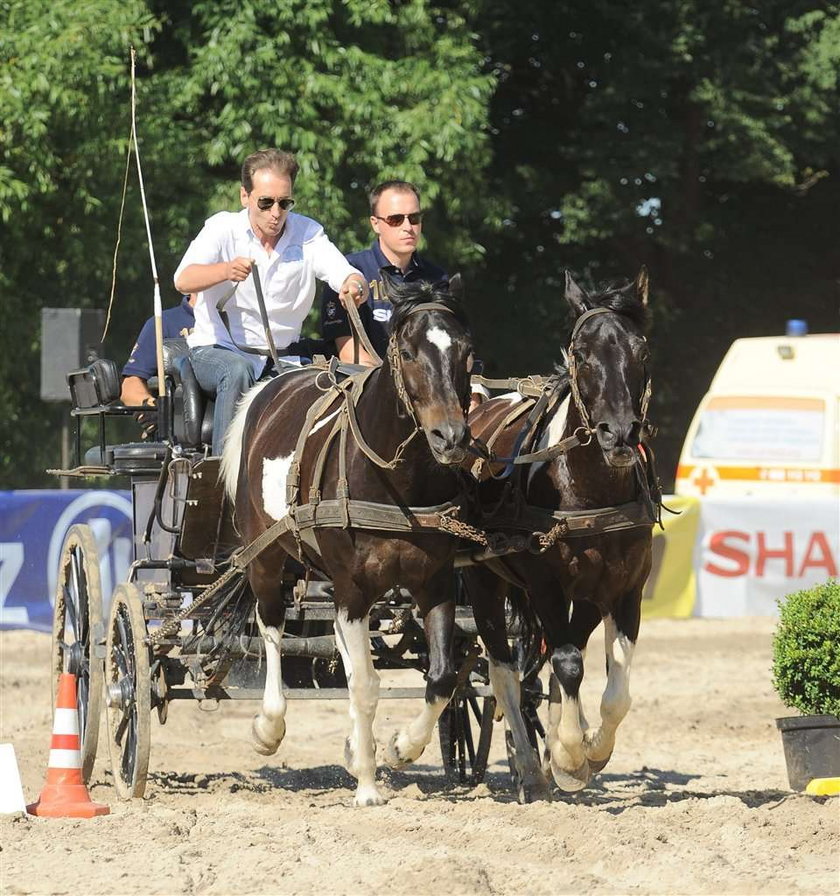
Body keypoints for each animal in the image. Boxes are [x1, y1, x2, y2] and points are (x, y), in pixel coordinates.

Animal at [221, 276, 472, 808]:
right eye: (408, 351)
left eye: (466, 350)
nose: (451, 436)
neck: (395, 481)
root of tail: (271, 385)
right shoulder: (353, 589)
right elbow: (366, 686)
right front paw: (368, 787)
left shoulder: (435, 583)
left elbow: (441, 677)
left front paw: (399, 747)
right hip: (265, 557)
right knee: (271, 628)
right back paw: (269, 726)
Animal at [466, 270, 656, 800]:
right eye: (582, 353)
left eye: (641, 350)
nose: (620, 434)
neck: (587, 488)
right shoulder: (544, 585)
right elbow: (568, 663)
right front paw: (570, 755)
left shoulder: (625, 588)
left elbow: (616, 688)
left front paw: (590, 749)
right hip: (484, 582)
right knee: (504, 671)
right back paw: (533, 768)